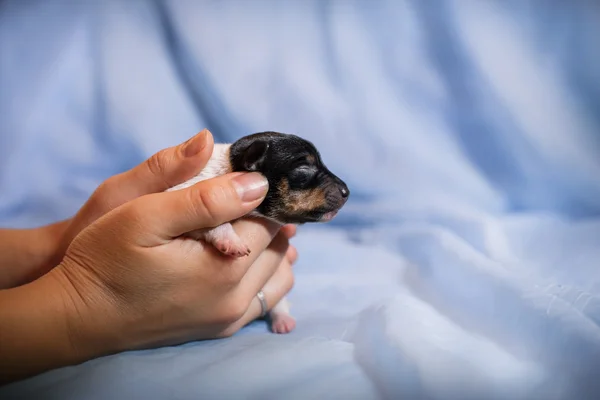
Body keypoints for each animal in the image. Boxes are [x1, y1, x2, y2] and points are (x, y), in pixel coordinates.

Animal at [166, 132, 350, 334]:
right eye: (303, 168)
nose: (347, 192)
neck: (230, 164)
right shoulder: (182, 204)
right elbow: (212, 224)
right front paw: (231, 242)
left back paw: (283, 320)